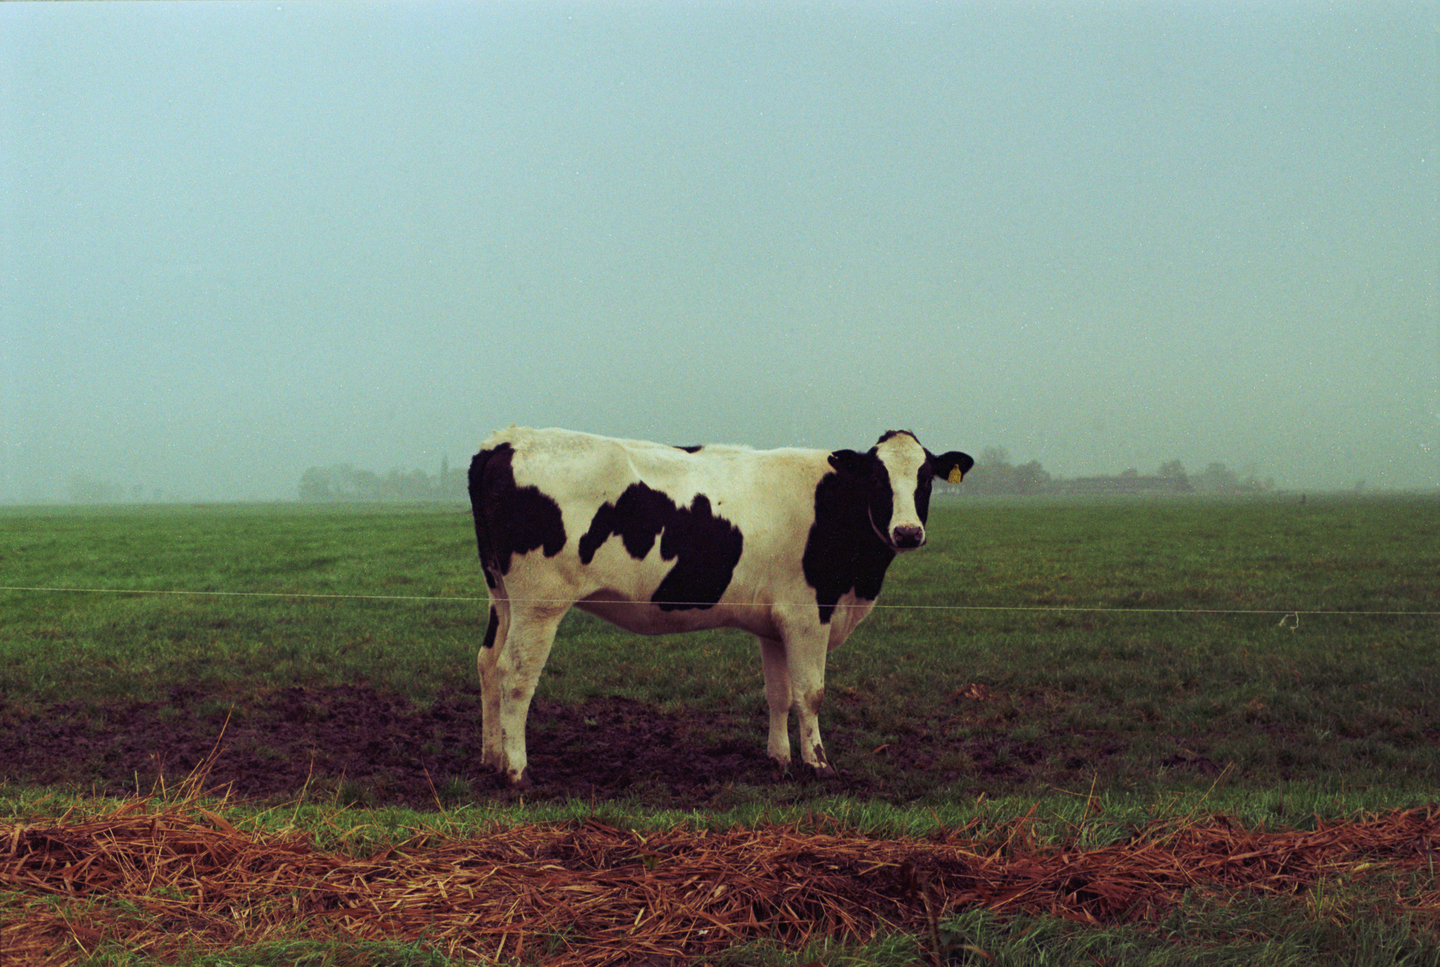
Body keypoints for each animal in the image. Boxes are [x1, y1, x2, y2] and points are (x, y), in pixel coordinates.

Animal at [467, 426, 973, 788]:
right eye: (877, 479)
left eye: (925, 479)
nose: (907, 532)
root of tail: (507, 439)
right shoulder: (807, 615)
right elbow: (811, 693)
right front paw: (818, 764)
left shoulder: (775, 624)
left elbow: (779, 694)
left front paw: (779, 760)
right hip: (539, 605)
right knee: (515, 675)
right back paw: (517, 771)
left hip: (502, 597)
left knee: (488, 663)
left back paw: (491, 759)